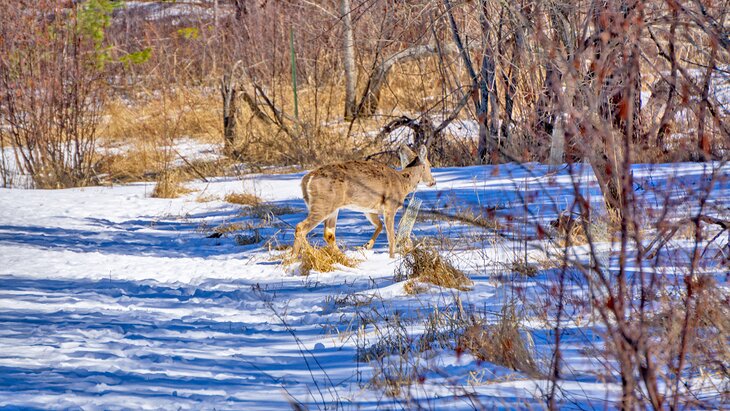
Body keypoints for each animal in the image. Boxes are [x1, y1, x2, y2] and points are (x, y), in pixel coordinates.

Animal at [290, 146, 436, 260]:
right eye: (429, 165)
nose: (433, 182)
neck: (403, 183)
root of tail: (307, 179)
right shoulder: (390, 206)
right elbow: (391, 236)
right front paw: (392, 258)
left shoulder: (369, 209)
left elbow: (379, 226)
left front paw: (367, 246)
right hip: (323, 204)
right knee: (301, 227)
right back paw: (307, 255)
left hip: (332, 208)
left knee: (329, 234)